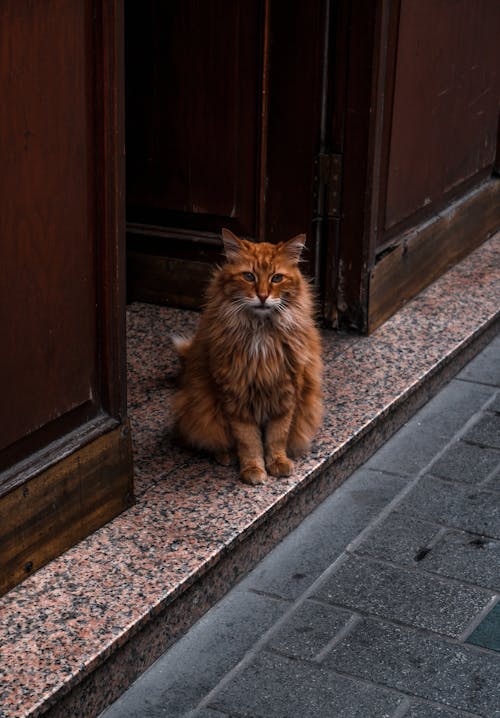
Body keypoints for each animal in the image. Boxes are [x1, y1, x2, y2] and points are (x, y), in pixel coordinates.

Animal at [173, 229, 324, 490]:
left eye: (276, 278)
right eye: (249, 276)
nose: (262, 296)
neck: (261, 334)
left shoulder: (286, 392)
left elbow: (276, 436)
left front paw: (278, 463)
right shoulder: (235, 397)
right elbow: (249, 441)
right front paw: (253, 469)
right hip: (199, 410)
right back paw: (225, 456)